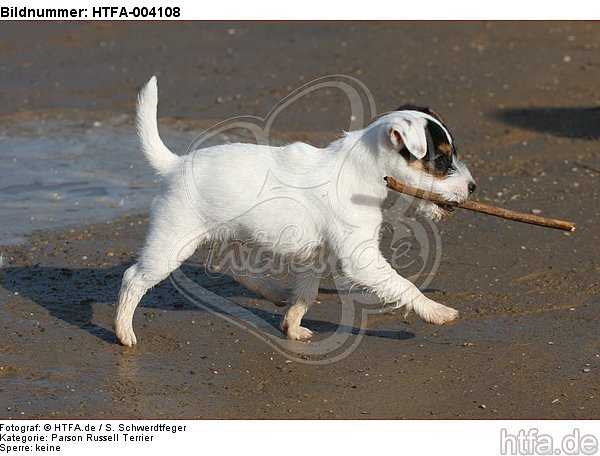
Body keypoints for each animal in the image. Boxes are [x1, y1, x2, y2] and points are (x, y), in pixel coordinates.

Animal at [115, 77, 476, 346]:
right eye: (441, 160)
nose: (472, 187)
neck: (365, 170)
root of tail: (175, 165)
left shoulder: (316, 256)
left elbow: (307, 292)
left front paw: (291, 324)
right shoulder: (360, 258)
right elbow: (403, 285)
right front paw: (436, 311)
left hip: (230, 233)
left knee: (235, 267)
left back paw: (276, 293)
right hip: (171, 243)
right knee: (133, 278)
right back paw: (123, 331)